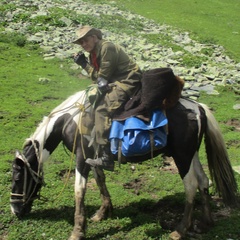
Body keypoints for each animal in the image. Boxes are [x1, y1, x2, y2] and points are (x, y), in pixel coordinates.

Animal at [10, 89, 237, 239]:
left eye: (18, 177)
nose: (15, 210)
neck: (72, 120)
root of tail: (197, 108)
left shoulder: (81, 158)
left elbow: (79, 190)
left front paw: (77, 231)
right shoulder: (94, 157)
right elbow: (100, 179)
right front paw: (102, 213)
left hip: (181, 157)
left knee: (190, 185)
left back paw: (180, 230)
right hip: (191, 154)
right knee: (203, 181)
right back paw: (205, 223)